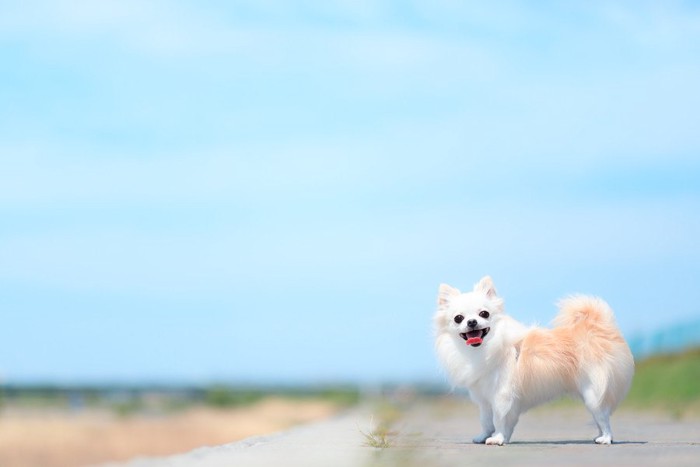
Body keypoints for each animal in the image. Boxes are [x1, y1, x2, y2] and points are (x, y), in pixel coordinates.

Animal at [432, 278, 636, 446]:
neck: (483, 349)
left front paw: (497, 439)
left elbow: (499, 419)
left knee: (603, 417)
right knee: (600, 416)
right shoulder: (484, 399)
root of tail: (599, 328)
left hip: (593, 392)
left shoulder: (501, 395)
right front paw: (485, 436)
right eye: (458, 318)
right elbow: (486, 420)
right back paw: (599, 436)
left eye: (484, 314)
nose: (472, 322)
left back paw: (606, 438)